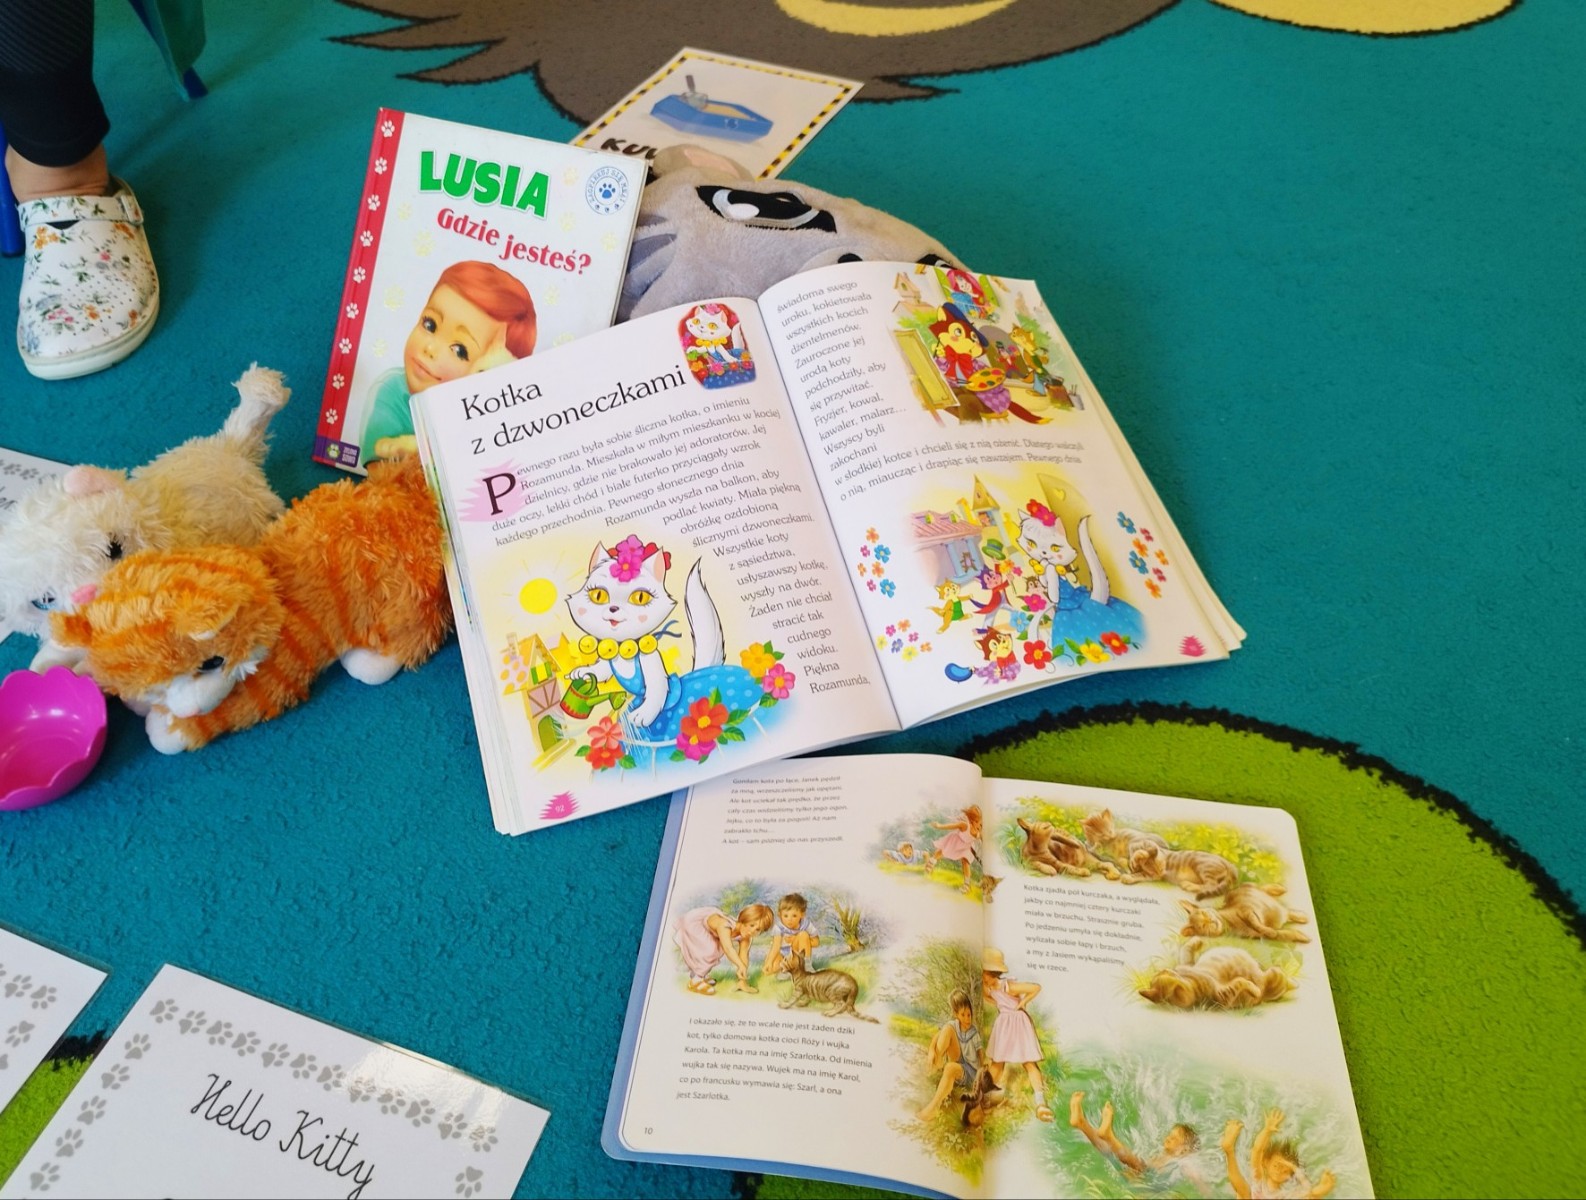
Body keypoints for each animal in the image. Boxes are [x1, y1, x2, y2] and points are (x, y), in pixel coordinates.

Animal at [1137, 938, 1293, 1011]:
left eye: (1162, 972)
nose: (1167, 970)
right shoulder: (1223, 996)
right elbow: (1239, 982)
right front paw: (1253, 989)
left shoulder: (1187, 964)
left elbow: (1186, 951)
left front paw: (1198, 941)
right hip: (1275, 978)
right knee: (1276, 975)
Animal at [1179, 885, 1311, 942]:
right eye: (1202, 926)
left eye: (1204, 914)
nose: (1210, 920)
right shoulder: (1259, 935)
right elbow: (1286, 935)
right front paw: (1303, 937)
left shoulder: (1247, 911)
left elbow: (1256, 923)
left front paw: (1270, 930)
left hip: (1254, 890)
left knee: (1263, 888)